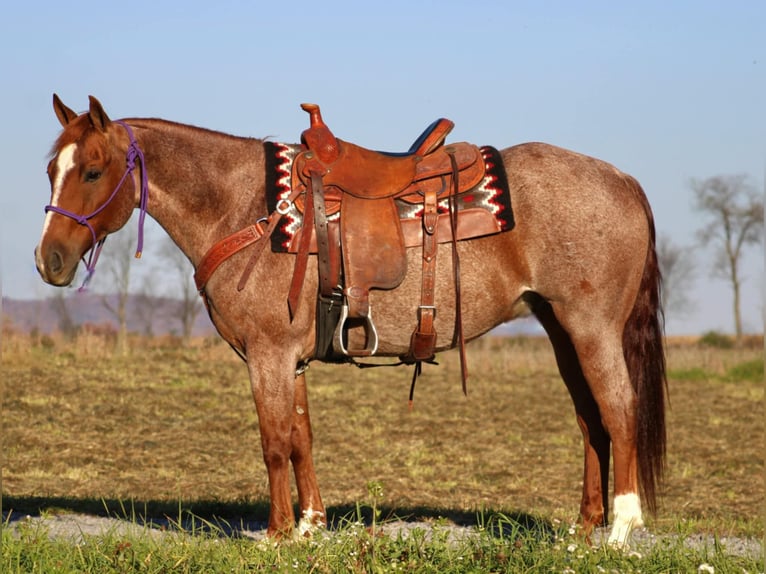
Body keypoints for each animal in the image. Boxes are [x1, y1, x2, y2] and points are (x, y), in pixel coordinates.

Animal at [34, 95, 664, 548]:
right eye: (50, 170)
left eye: (92, 171)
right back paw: (582, 529)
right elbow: (301, 437)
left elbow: (273, 441)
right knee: (590, 420)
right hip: (561, 329)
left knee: (618, 410)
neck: (245, 208)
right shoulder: (290, 359)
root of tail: (622, 179)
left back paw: (620, 529)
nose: (49, 261)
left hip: (591, 328)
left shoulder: (267, 355)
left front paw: (277, 535)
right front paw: (310, 525)